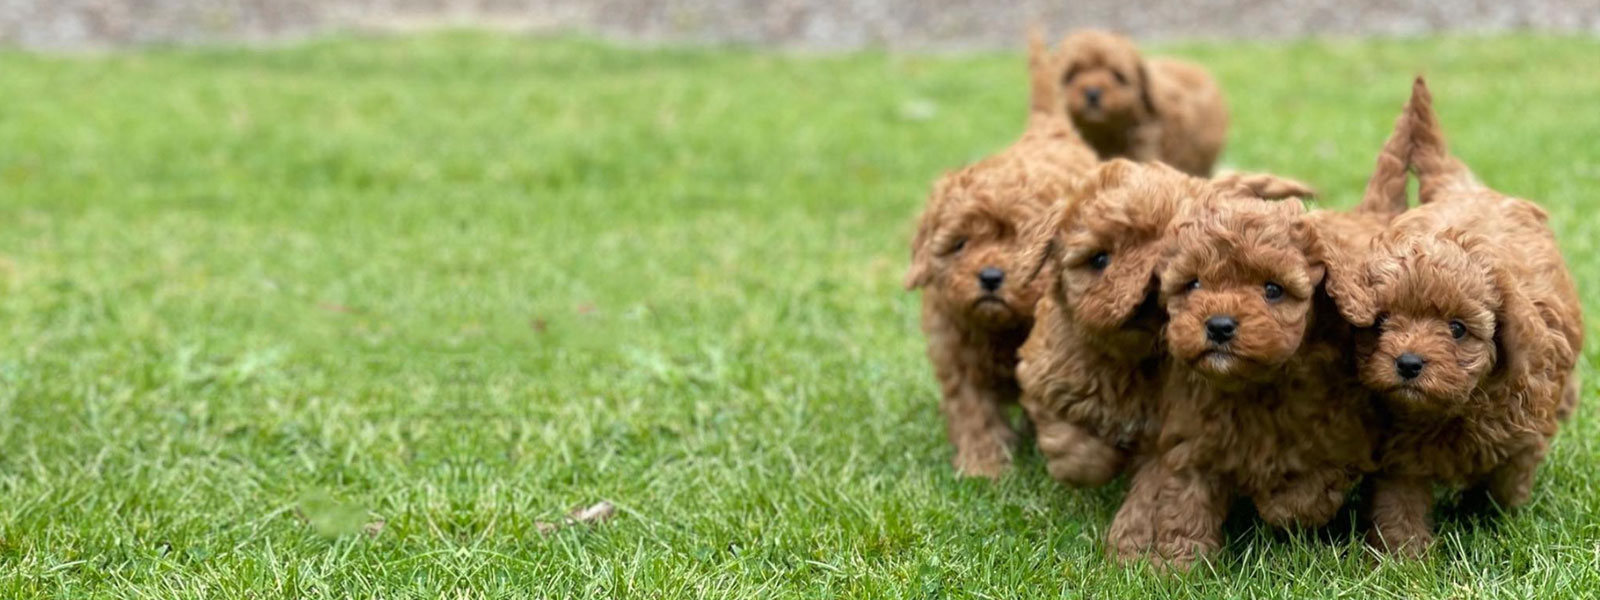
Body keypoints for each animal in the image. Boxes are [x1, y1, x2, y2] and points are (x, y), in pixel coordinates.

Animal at [908, 34, 1107, 480]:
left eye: (1021, 241)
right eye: (960, 244)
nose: (990, 276)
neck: (1002, 329)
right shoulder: (958, 354)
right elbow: (974, 414)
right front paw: (984, 469)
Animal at [1011, 160, 1312, 489]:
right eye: (1099, 259)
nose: (1145, 298)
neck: (1128, 363)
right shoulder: (1042, 374)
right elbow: (1077, 449)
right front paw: (1082, 460)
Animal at [1324, 78, 1587, 560]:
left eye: (1458, 329)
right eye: (1380, 323)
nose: (1408, 364)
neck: (1452, 409)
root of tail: (1458, 186)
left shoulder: (1523, 431)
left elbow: (1506, 482)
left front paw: (1488, 519)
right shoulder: (1398, 451)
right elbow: (1400, 501)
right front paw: (1403, 557)